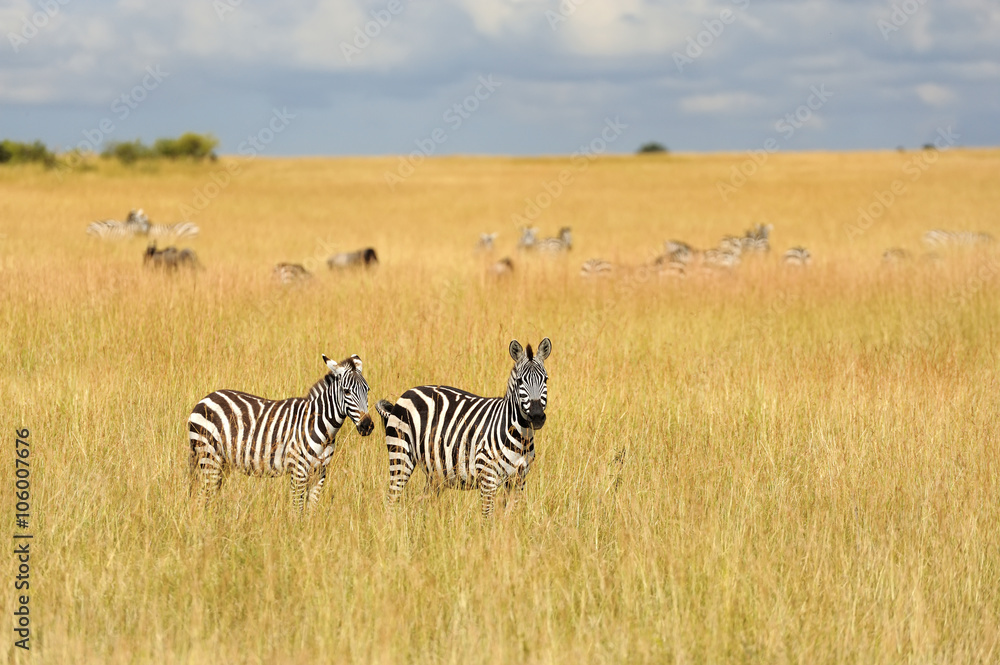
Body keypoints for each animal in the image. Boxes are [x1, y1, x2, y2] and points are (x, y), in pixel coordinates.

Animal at [187, 354, 375, 510]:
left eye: (367, 390)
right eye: (346, 391)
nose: (367, 426)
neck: (322, 428)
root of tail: (205, 399)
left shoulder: (320, 472)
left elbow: (312, 510)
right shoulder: (299, 470)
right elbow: (297, 508)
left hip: (221, 462)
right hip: (209, 456)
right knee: (203, 497)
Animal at [375, 338, 551, 518]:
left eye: (545, 380)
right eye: (520, 381)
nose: (537, 417)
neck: (521, 436)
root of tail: (407, 393)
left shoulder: (518, 479)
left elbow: (509, 517)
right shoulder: (488, 477)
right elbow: (487, 516)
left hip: (434, 471)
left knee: (422, 504)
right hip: (400, 454)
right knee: (391, 499)